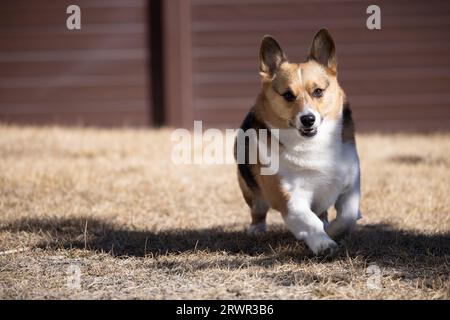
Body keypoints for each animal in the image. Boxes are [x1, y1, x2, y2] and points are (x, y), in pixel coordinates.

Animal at [236, 28, 362, 256]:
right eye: (288, 95)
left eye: (318, 91)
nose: (308, 119)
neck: (312, 145)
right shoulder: (290, 200)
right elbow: (310, 222)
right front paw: (323, 243)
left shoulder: (351, 187)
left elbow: (347, 217)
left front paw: (332, 231)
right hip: (250, 189)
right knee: (258, 209)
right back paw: (256, 229)